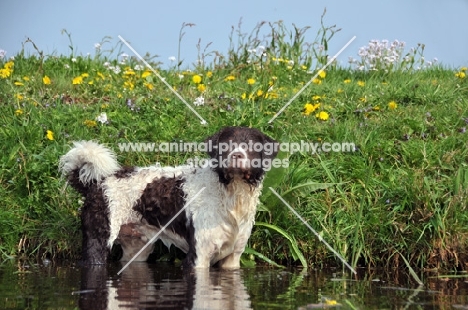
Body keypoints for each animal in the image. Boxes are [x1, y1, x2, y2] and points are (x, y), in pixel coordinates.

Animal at [58, 127, 278, 268]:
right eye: (225, 145)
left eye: (251, 145)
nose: (236, 156)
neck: (231, 194)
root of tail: (97, 183)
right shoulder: (198, 256)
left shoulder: (232, 258)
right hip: (98, 240)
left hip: (136, 249)